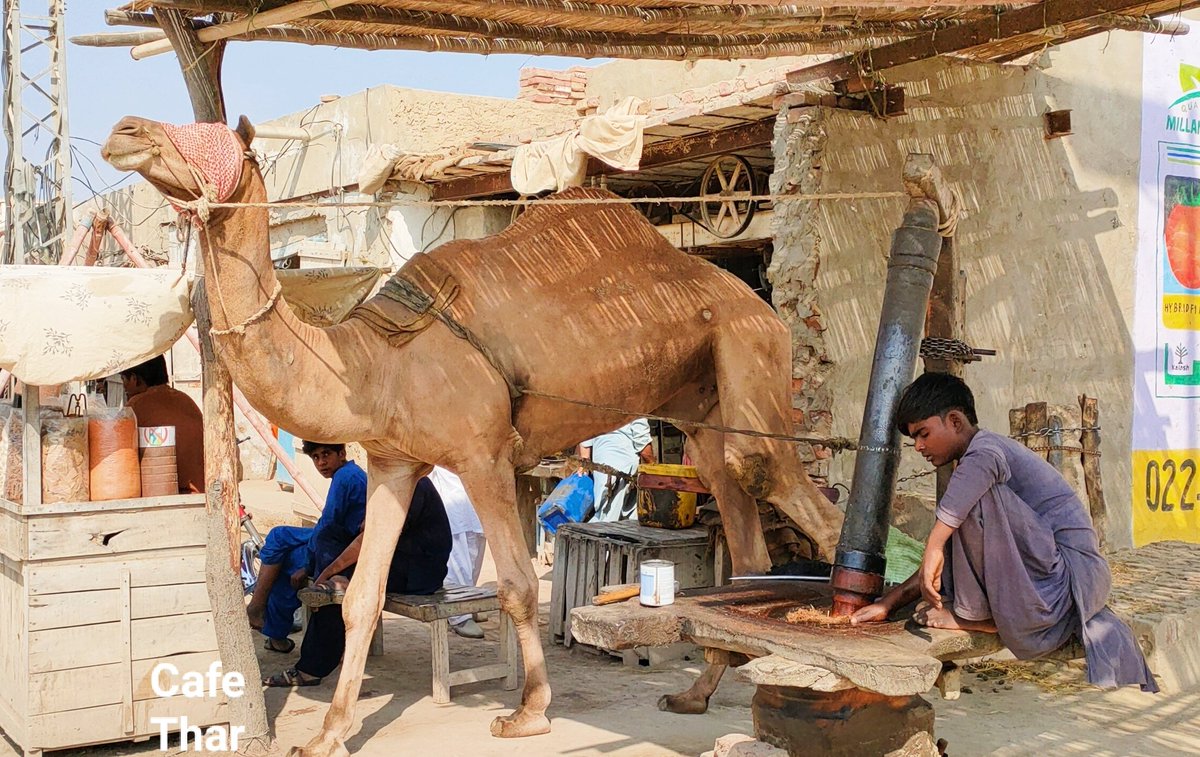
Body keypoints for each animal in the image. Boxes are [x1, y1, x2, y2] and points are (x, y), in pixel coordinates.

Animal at [102, 115, 846, 756]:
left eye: (210, 138)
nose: (125, 131)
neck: (378, 364)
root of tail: (749, 293)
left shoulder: (483, 455)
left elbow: (516, 585)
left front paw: (529, 711)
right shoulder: (394, 463)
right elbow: (362, 597)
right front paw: (327, 735)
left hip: (749, 345)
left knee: (782, 481)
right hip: (697, 399)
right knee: (739, 512)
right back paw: (698, 692)